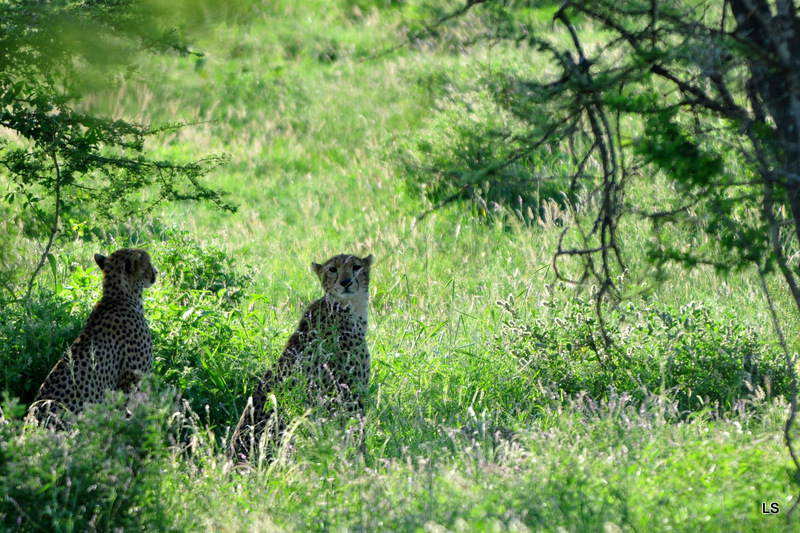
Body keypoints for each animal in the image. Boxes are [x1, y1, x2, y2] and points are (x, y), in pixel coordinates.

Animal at [228, 251, 372, 460]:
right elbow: (357, 435)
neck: (347, 307)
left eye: (356, 267)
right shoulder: (348, 395)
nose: (345, 282)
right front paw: (363, 462)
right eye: (332, 269)